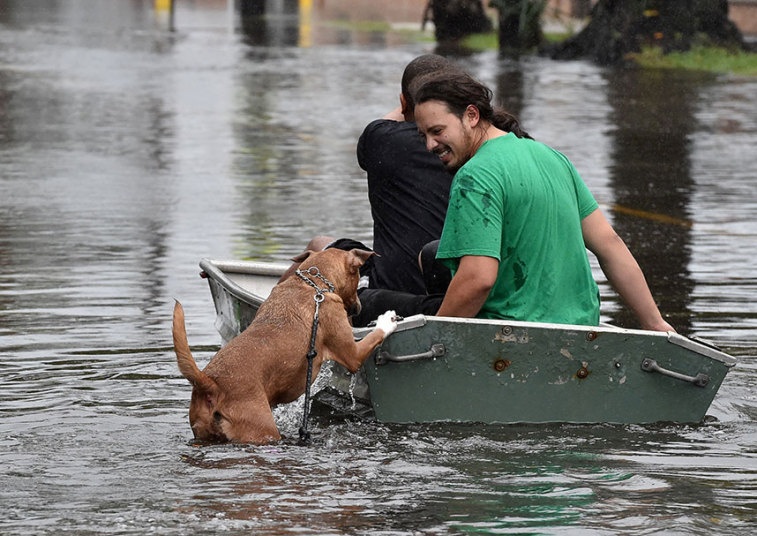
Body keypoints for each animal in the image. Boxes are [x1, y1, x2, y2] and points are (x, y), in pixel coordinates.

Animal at [171, 248, 396, 444]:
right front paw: (387, 320)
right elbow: (376, 334)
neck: (313, 285)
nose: (358, 307)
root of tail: (210, 383)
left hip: (202, 432)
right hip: (261, 430)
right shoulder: (353, 355)